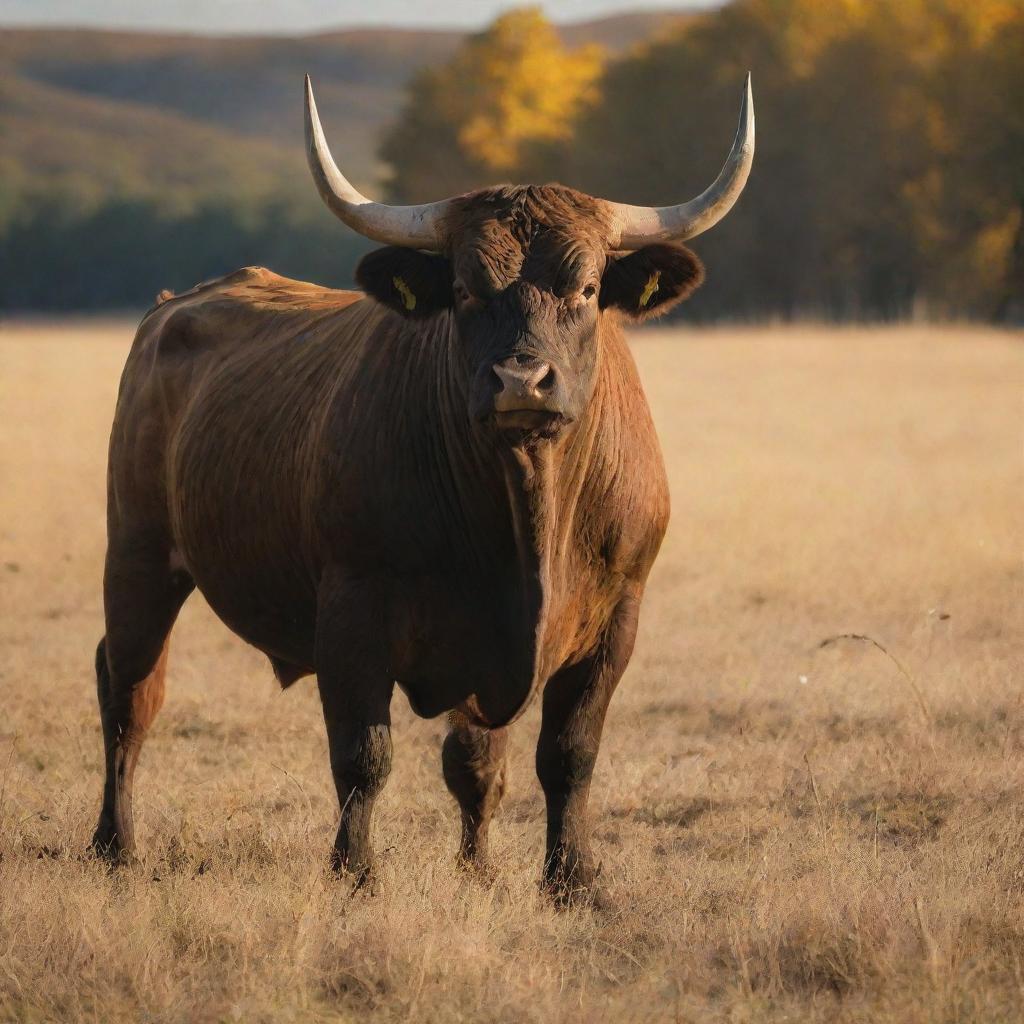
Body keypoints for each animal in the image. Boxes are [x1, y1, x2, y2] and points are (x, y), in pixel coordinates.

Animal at [92, 75, 753, 901]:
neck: (526, 517)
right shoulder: (353, 612)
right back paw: (115, 845)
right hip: (137, 556)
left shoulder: (614, 618)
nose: (521, 383)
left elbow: (545, 758)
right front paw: (356, 874)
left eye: (588, 286)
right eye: (466, 289)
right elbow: (364, 757)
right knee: (129, 692)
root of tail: (173, 306)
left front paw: (558, 878)